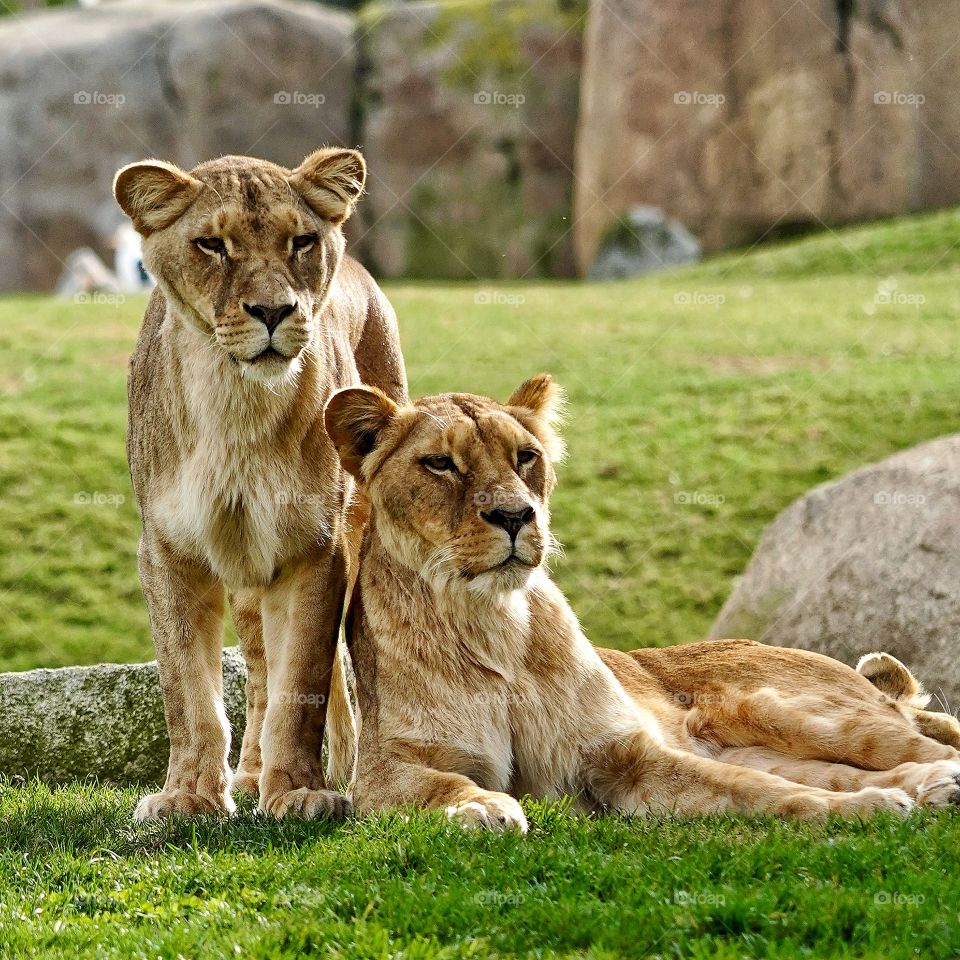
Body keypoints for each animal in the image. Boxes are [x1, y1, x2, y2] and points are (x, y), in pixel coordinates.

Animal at [114, 147, 406, 820]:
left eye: (300, 241)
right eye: (212, 245)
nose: (273, 312)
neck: (236, 406)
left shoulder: (316, 549)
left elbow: (302, 681)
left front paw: (300, 791)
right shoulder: (166, 549)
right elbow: (189, 692)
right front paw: (188, 796)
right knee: (256, 672)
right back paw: (247, 776)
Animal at [324, 375, 960, 830]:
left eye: (525, 457)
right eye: (439, 463)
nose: (515, 515)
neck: (493, 619)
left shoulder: (625, 757)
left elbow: (756, 791)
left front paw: (864, 811)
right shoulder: (381, 773)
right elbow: (439, 784)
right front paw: (479, 806)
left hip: (806, 714)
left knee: (912, 744)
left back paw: (933, 781)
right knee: (842, 772)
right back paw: (930, 789)